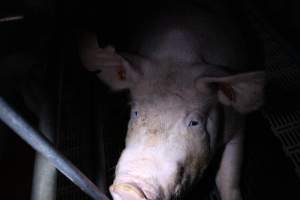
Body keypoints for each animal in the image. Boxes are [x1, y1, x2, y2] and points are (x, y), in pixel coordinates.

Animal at [79, 2, 264, 199]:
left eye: (194, 122)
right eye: (136, 112)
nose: (129, 189)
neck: (177, 57)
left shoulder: (238, 124)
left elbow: (229, 180)